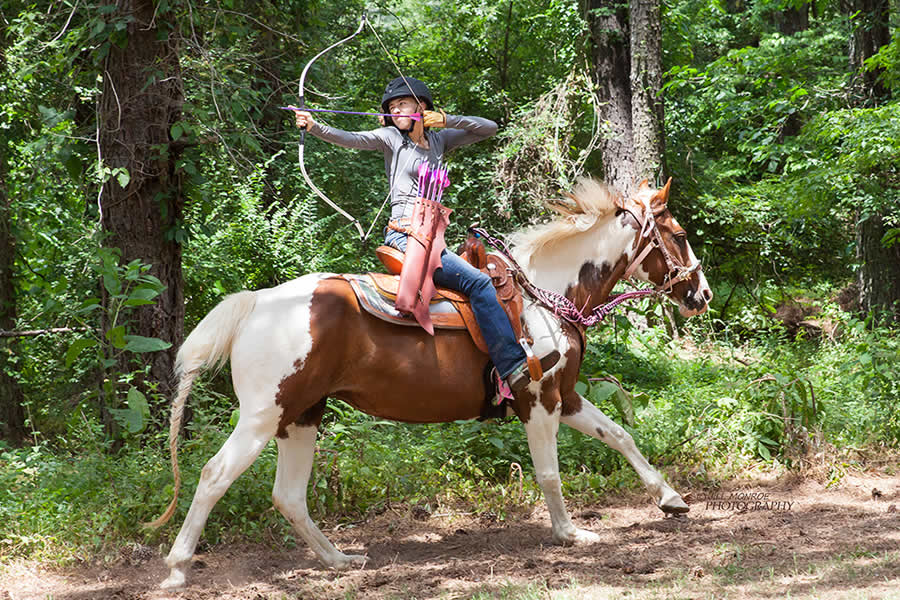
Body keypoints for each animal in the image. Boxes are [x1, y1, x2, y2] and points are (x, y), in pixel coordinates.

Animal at [150, 177, 712, 589]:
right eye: (681, 235)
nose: (702, 295)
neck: (546, 296)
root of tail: (256, 304)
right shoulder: (538, 400)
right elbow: (550, 473)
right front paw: (570, 534)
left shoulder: (566, 396)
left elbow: (620, 436)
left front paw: (670, 499)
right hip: (263, 416)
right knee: (214, 476)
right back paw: (177, 569)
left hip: (301, 416)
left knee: (288, 495)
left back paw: (338, 560)